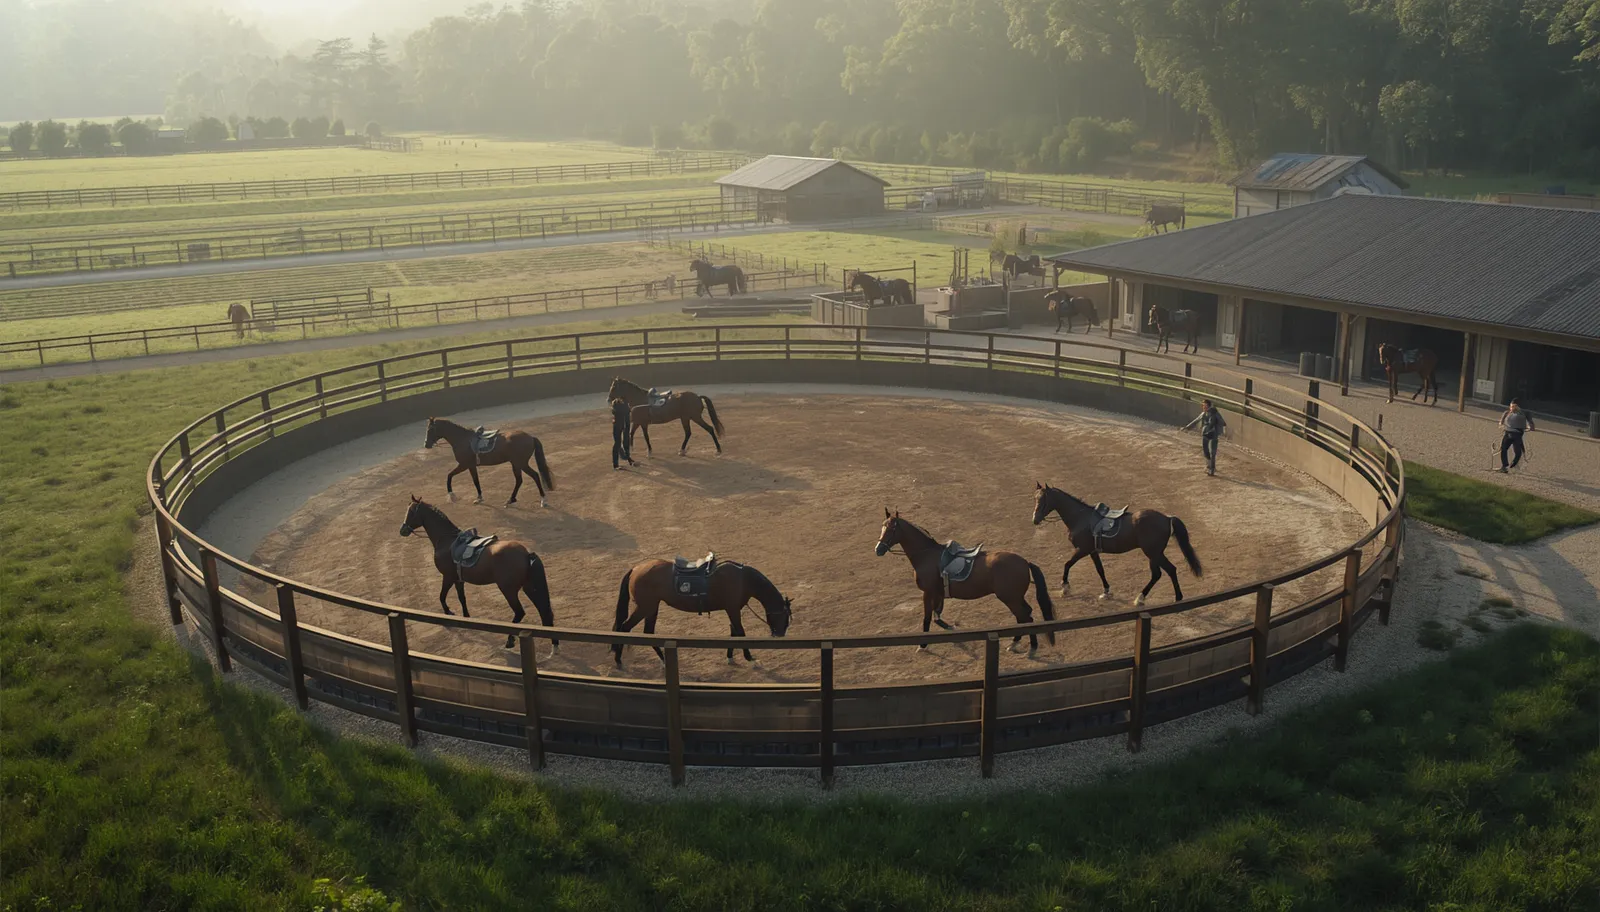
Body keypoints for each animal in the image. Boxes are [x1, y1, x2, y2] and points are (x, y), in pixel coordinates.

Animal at [399, 497, 556, 651]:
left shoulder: (448, 577)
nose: (402, 530)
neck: (446, 540)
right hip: (529, 587)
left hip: (509, 590)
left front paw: (448, 613)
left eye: (411, 512)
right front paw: (466, 617)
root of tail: (526, 553)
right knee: (543, 610)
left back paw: (510, 640)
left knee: (519, 612)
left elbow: (442, 596)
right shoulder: (459, 579)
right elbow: (462, 598)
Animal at [424, 417, 555, 507]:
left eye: (430, 430)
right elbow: (475, 481)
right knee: (519, 480)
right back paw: (511, 500)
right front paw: (479, 498)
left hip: (520, 463)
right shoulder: (471, 466)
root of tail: (530, 437)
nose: (426, 444)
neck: (462, 439)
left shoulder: (464, 465)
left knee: (535, 476)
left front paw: (452, 495)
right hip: (516, 464)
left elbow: (449, 476)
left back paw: (543, 500)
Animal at [611, 558, 793, 666]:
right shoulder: (733, 610)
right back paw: (618, 659)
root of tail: (636, 568)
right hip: (645, 607)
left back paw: (663, 659)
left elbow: (733, 633)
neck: (743, 580)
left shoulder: (732, 610)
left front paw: (730, 656)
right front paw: (749, 658)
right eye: (785, 618)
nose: (779, 635)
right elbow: (740, 634)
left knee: (648, 632)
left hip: (651, 608)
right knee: (625, 628)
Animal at [873, 510, 1056, 656]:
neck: (926, 555)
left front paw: (923, 645)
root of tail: (1025, 562)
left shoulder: (928, 592)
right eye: (882, 526)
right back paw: (1018, 643)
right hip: (1015, 598)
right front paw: (948, 627)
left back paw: (1028, 646)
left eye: (892, 529)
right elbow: (937, 614)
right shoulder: (938, 593)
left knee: (1025, 617)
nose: (878, 549)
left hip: (1010, 598)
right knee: (1025, 615)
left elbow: (927, 617)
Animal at [1031, 483, 1203, 606]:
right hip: (1154, 554)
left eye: (1043, 500)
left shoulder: (1082, 549)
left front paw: (1065, 588)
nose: (1035, 520)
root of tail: (1167, 518)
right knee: (1157, 574)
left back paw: (1173, 597)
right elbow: (1100, 570)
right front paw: (1106, 591)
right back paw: (1142, 597)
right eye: (1034, 499)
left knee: (1169, 570)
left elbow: (1067, 564)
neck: (1080, 518)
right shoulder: (1092, 551)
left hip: (1153, 553)